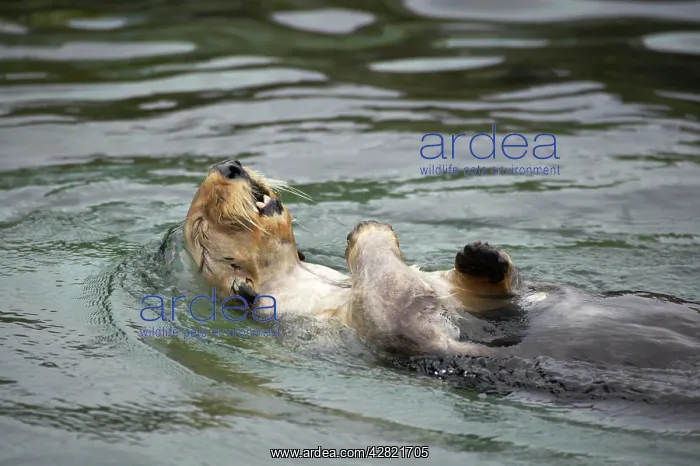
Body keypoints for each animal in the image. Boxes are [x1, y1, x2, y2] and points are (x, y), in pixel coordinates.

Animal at [183, 160, 700, 369]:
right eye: (204, 218)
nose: (229, 166)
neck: (325, 287)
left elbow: (476, 287)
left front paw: (480, 255)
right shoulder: (385, 321)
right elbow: (397, 297)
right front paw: (369, 230)